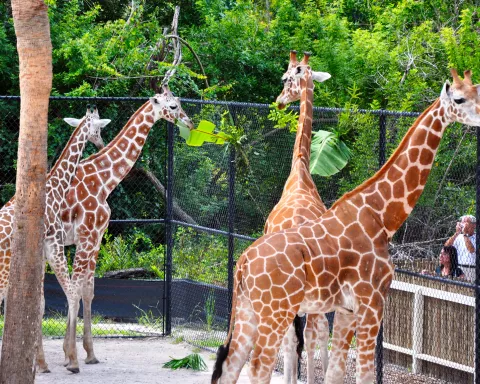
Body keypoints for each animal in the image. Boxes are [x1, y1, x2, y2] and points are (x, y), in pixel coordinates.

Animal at [0, 104, 109, 372]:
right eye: (97, 128)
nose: (101, 144)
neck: (55, 187)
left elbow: (40, 301)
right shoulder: (55, 245)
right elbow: (70, 292)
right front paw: (70, 360)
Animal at [58, 83, 195, 372]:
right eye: (173, 105)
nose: (189, 122)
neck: (103, 181)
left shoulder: (96, 238)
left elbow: (88, 290)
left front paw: (87, 353)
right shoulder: (86, 236)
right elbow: (76, 289)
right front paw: (71, 356)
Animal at [214, 70, 480, 384]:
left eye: (478, 92)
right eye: (460, 99)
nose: (279, 100)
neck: (381, 216)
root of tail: (242, 263)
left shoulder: (346, 310)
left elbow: (336, 372)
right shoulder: (372, 303)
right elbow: (364, 374)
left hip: (249, 310)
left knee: (232, 366)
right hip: (275, 312)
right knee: (260, 366)